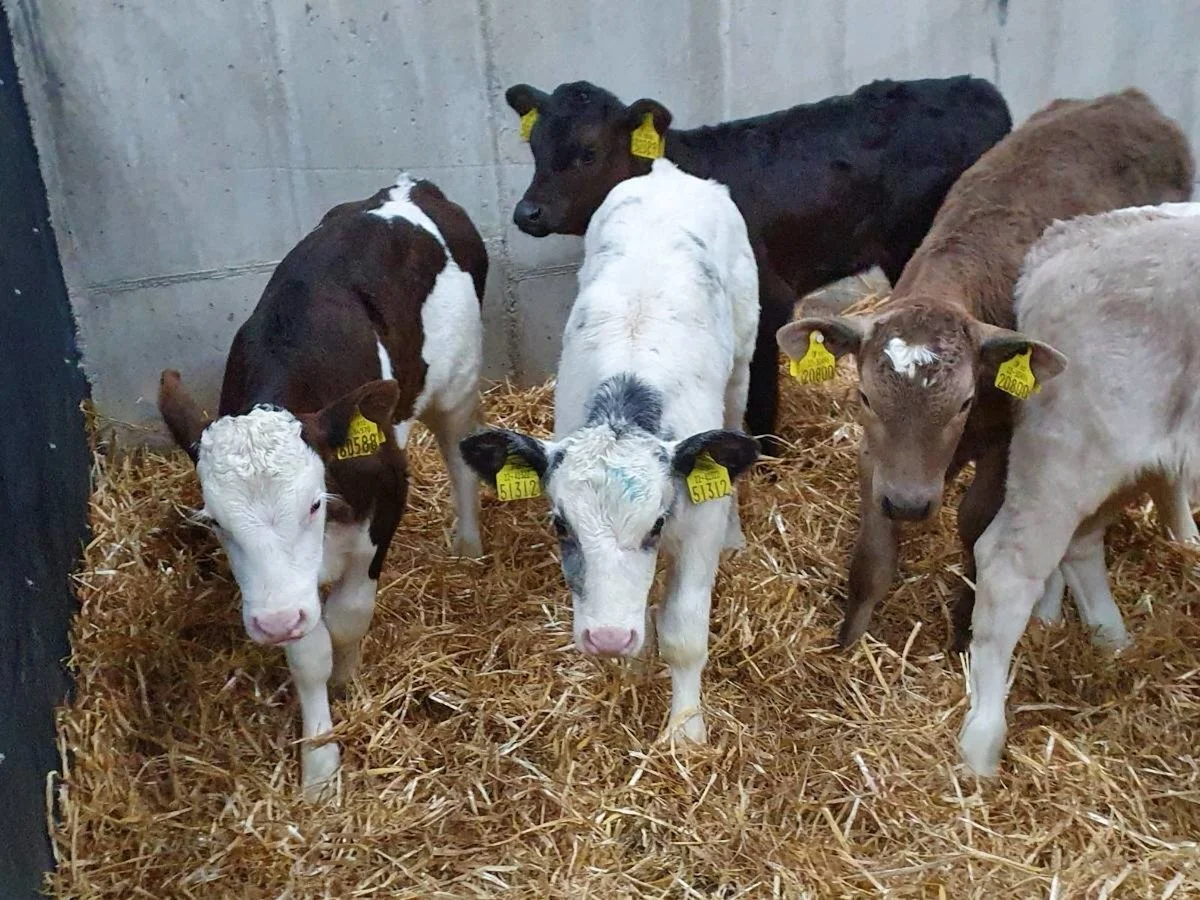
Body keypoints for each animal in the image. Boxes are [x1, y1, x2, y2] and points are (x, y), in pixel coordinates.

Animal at [157, 174, 486, 799]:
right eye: (216, 523)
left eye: (314, 503)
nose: (273, 624)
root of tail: (408, 185)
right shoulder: (283, 589)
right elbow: (308, 650)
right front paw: (320, 765)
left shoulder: (387, 497)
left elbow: (349, 614)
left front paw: (348, 677)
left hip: (455, 385)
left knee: (458, 453)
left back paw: (469, 543)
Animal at [460, 159, 759, 743]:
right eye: (560, 525)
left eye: (657, 524)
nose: (605, 640)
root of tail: (668, 172)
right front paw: (634, 662)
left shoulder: (698, 526)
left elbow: (684, 632)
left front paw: (685, 732)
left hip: (744, 356)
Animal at [505, 77, 1012, 453]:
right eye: (535, 148)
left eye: (587, 152)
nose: (527, 212)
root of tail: (977, 87)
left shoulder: (770, 297)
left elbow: (761, 384)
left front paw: (766, 452)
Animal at [776, 89, 1194, 652]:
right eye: (864, 397)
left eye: (966, 401)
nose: (909, 505)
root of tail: (1126, 100)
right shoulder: (876, 458)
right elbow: (872, 559)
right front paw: (848, 647)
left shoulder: (1003, 445)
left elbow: (974, 527)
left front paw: (961, 635)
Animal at [960, 203, 1200, 776]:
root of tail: (1069, 237)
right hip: (1067, 452)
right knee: (1005, 564)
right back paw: (980, 746)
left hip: (1118, 460)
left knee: (1081, 545)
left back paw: (1114, 641)